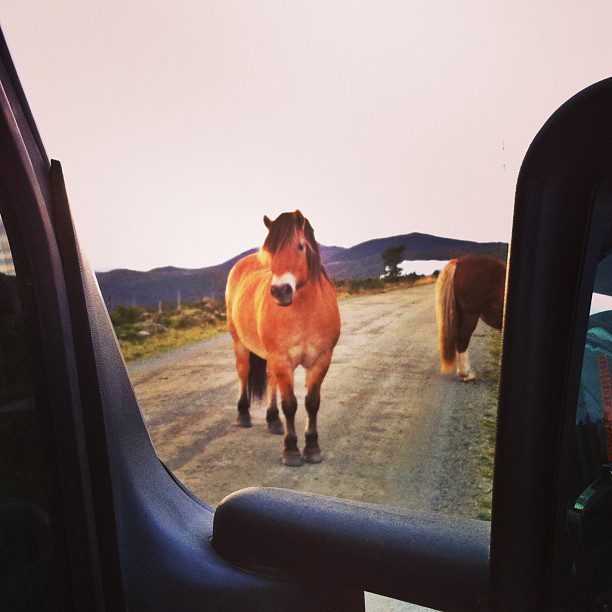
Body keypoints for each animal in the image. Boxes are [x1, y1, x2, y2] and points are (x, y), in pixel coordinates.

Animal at [225, 208, 340, 466]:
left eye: (300, 246)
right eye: (271, 251)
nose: (280, 291)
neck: (304, 312)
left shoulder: (321, 360)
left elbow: (312, 403)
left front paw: (312, 447)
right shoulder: (282, 360)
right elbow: (290, 405)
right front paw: (291, 450)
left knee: (270, 378)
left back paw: (273, 420)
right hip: (240, 344)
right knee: (243, 372)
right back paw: (243, 415)